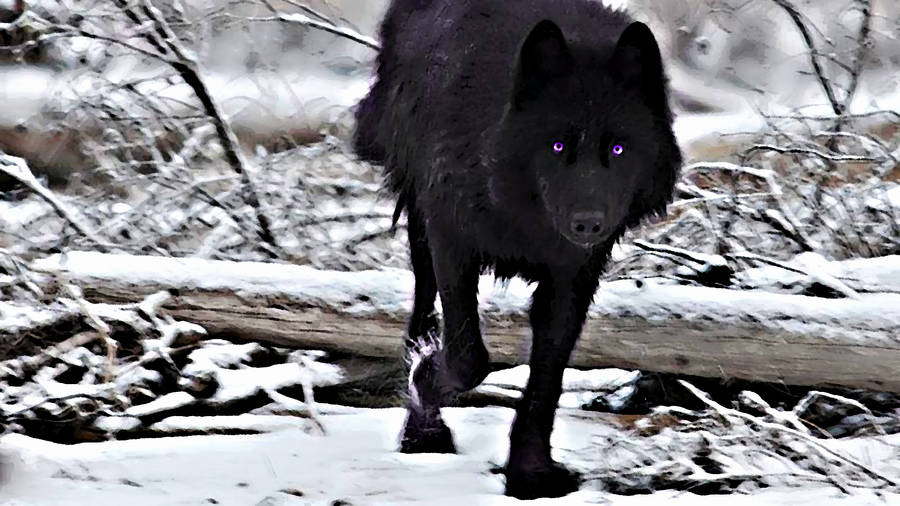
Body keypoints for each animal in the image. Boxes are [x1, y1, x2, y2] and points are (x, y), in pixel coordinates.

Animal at [354, 0, 681, 498]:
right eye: (558, 145)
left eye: (618, 149)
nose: (588, 221)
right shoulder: (451, 240)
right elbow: (467, 359)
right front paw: (424, 376)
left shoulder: (573, 276)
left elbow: (546, 380)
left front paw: (530, 473)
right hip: (420, 225)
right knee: (421, 314)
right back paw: (423, 431)